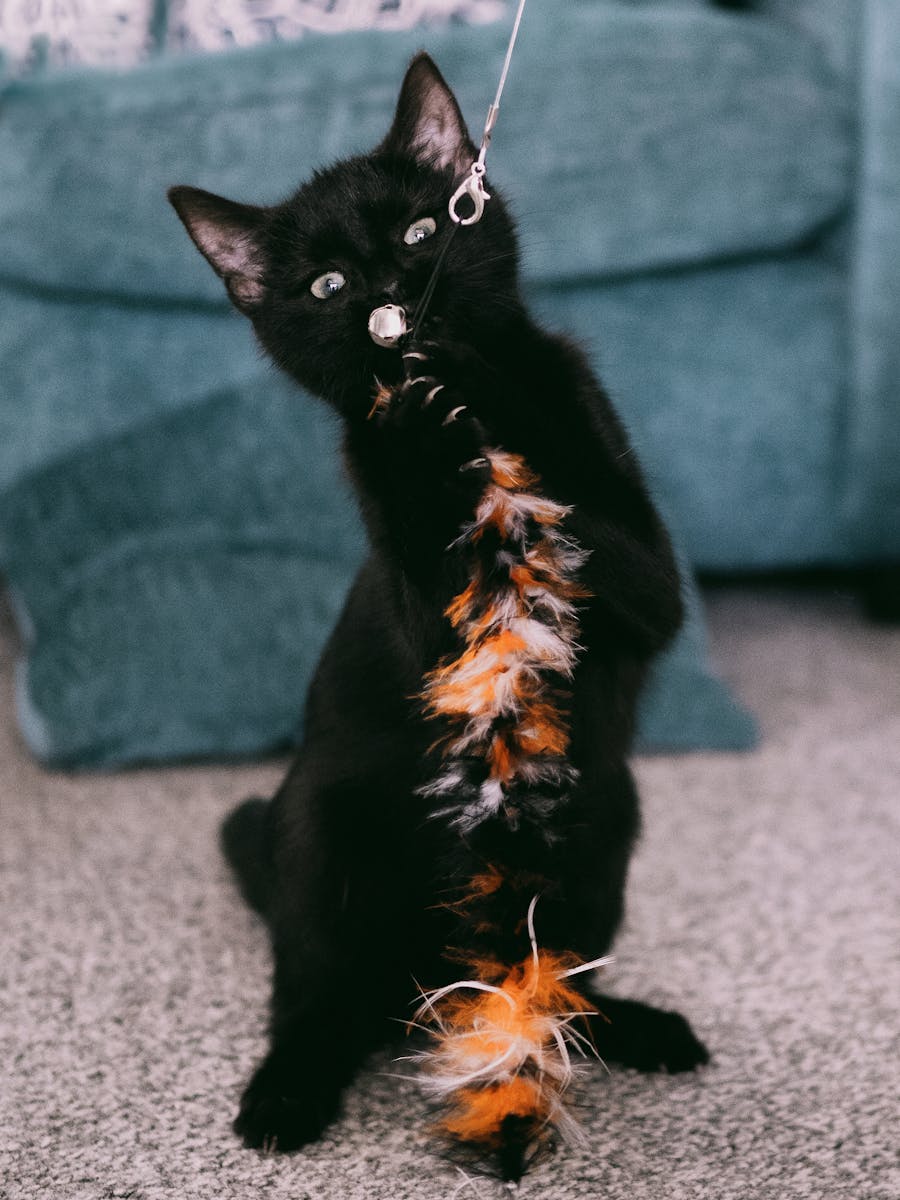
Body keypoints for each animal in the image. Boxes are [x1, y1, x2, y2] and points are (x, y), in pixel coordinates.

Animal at [168, 51, 705, 1176]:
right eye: (327, 286)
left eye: (425, 229)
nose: (393, 296)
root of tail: (428, 985)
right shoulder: (428, 623)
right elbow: (440, 566)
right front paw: (426, 436)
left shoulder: (653, 582)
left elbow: (591, 525)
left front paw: (493, 439)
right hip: (314, 836)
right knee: (318, 998)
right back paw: (287, 1094)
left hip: (606, 825)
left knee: (564, 984)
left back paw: (618, 1032)